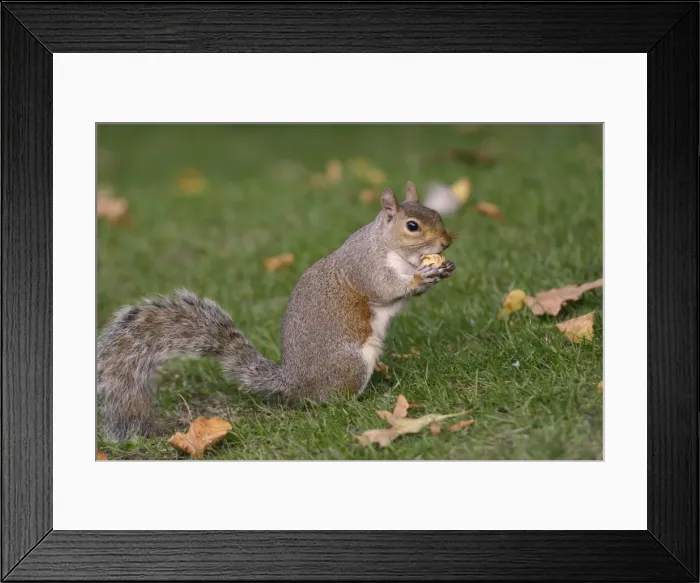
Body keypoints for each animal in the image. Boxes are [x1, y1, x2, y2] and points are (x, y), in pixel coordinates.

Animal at [97, 182, 456, 442]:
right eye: (412, 226)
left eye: (437, 213)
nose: (446, 242)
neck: (389, 246)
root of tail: (295, 384)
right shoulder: (365, 268)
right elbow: (385, 289)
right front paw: (421, 276)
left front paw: (440, 270)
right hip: (350, 364)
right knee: (331, 400)